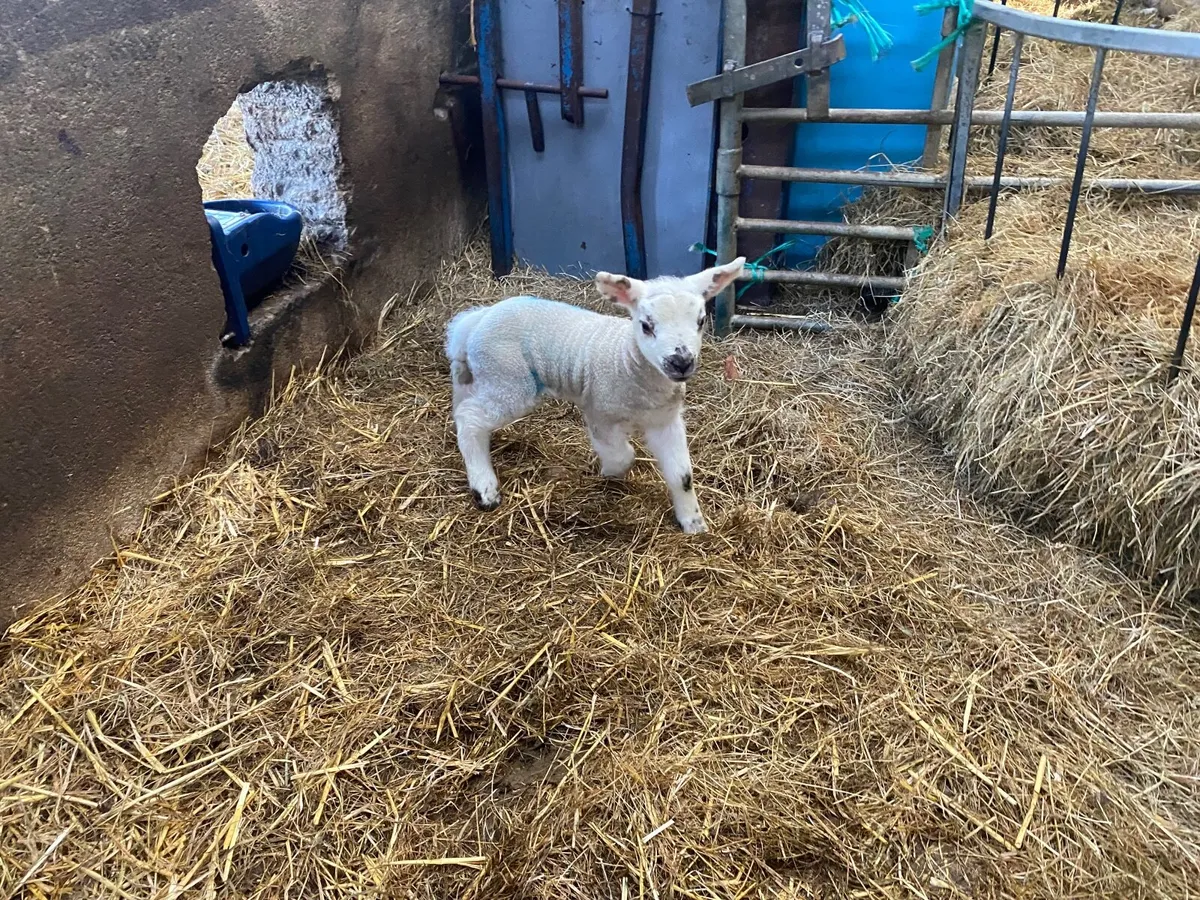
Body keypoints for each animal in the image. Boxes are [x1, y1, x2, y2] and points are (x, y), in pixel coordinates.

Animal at [444, 258, 746, 534]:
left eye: (701, 321)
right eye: (646, 326)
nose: (681, 362)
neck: (628, 362)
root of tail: (478, 319)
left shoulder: (665, 420)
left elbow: (683, 476)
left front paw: (693, 523)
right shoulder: (599, 411)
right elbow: (624, 456)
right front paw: (609, 473)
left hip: (487, 377)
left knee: (464, 406)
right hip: (510, 380)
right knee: (470, 417)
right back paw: (484, 488)